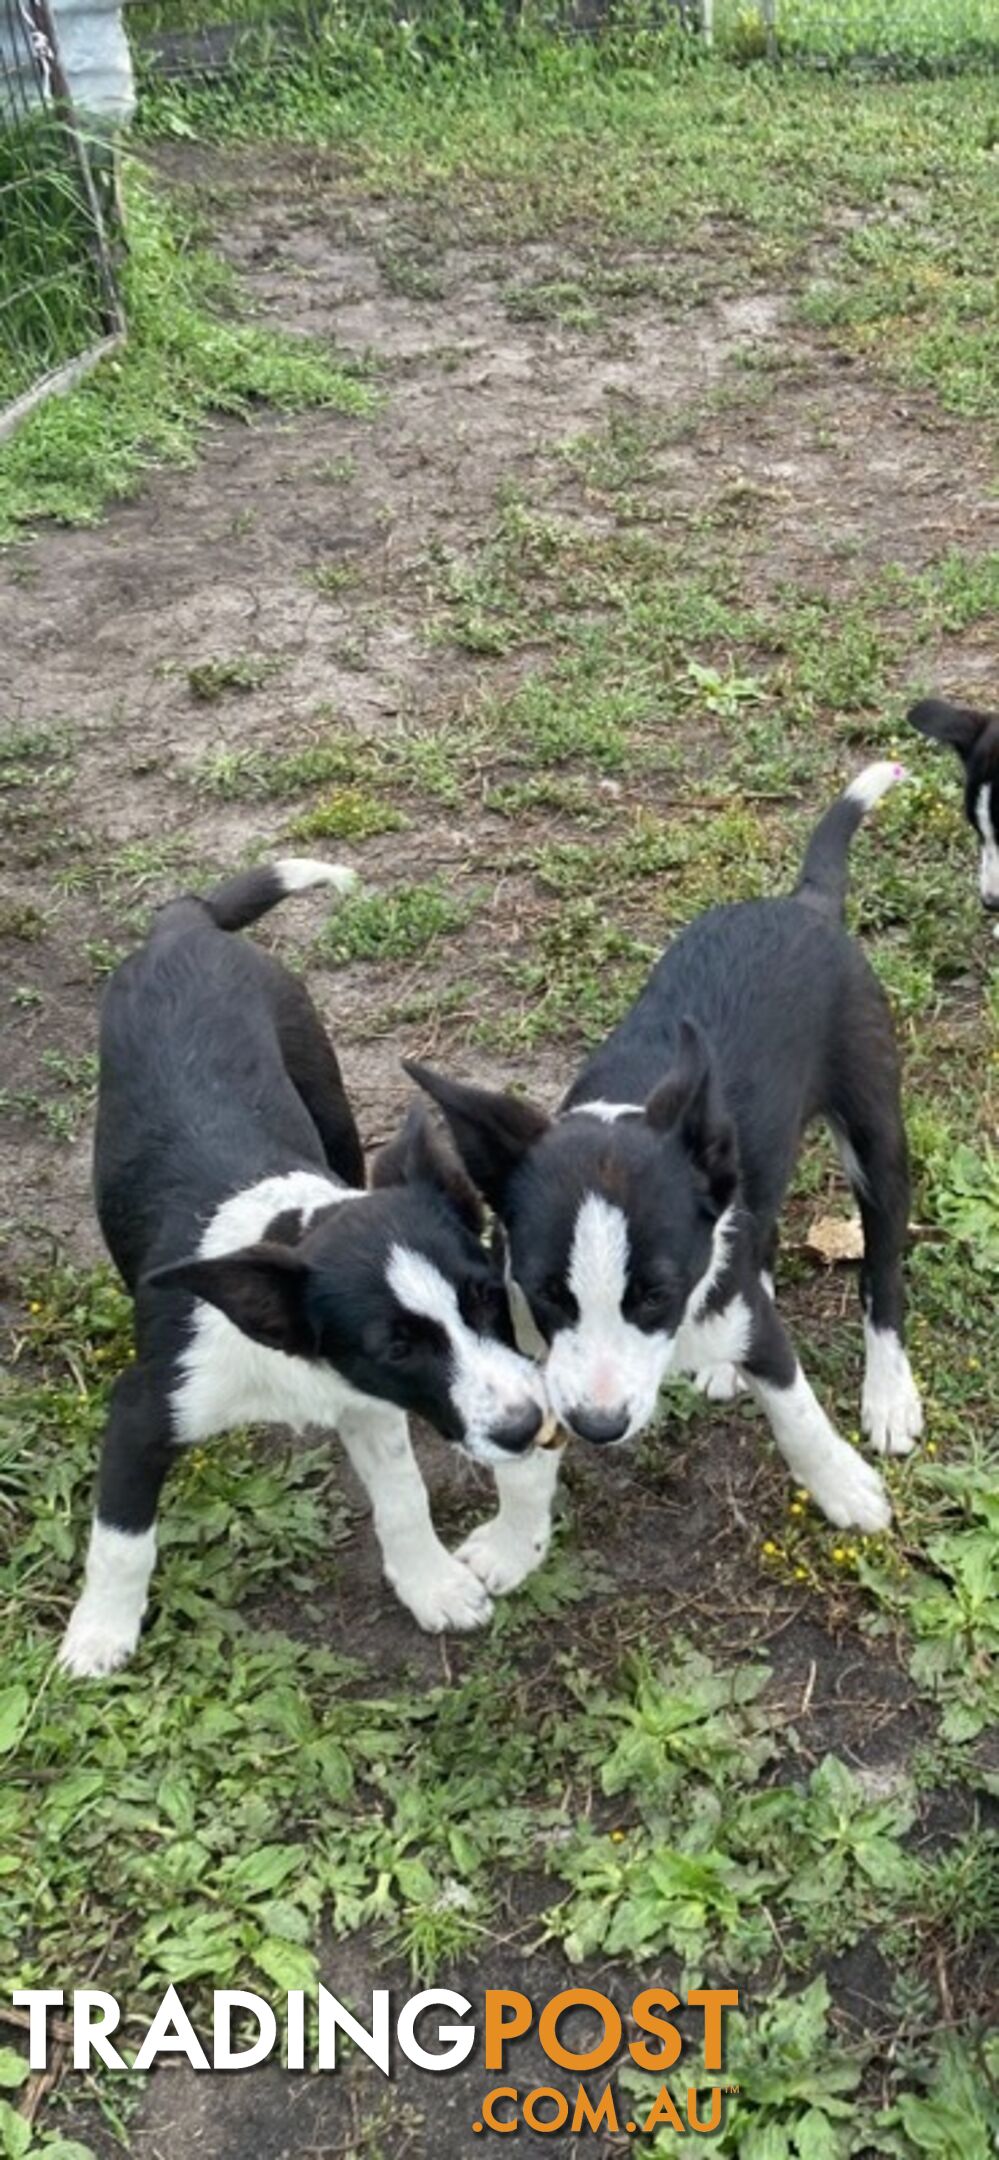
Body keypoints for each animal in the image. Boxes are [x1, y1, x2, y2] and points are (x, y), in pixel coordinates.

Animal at [58, 851, 549, 1676]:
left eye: (487, 1297)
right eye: (397, 1347)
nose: (528, 1426)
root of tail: (185, 924)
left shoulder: (369, 1406)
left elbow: (404, 1498)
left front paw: (431, 1584)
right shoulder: (143, 1410)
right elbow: (121, 1542)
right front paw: (97, 1636)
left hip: (325, 1088)